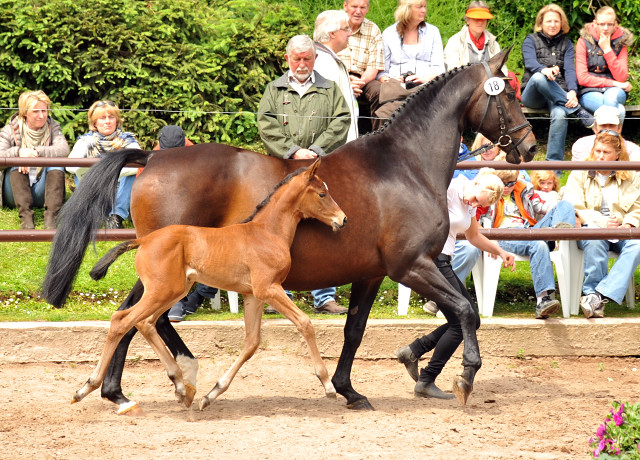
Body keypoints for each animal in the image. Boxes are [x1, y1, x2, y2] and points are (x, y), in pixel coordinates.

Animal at [74, 160, 344, 412]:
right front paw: (327, 384)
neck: (266, 233)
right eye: (322, 193)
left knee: (145, 323)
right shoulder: (269, 288)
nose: (342, 219)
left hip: (175, 290)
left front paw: (212, 394)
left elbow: (251, 343)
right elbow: (304, 323)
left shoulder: (253, 295)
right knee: (122, 320)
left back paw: (181, 385)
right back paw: (87, 387)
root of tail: (145, 240)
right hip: (162, 291)